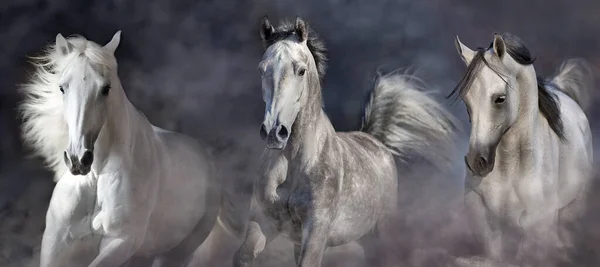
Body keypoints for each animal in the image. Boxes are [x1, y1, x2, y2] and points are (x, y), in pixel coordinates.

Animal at [21, 31, 240, 267]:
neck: (96, 177)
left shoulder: (121, 241)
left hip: (176, 252)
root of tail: (209, 162)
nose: (78, 160)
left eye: (106, 89)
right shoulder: (58, 242)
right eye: (62, 87)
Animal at [232, 17, 458, 267]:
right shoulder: (263, 222)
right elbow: (243, 255)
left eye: (301, 70)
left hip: (379, 235)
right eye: (262, 69)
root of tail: (375, 141)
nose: (274, 131)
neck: (295, 164)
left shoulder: (316, 231)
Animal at [452, 33, 592, 267]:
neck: (510, 170)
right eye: (466, 100)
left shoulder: (538, 224)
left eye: (500, 99)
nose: (476, 162)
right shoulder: (486, 221)